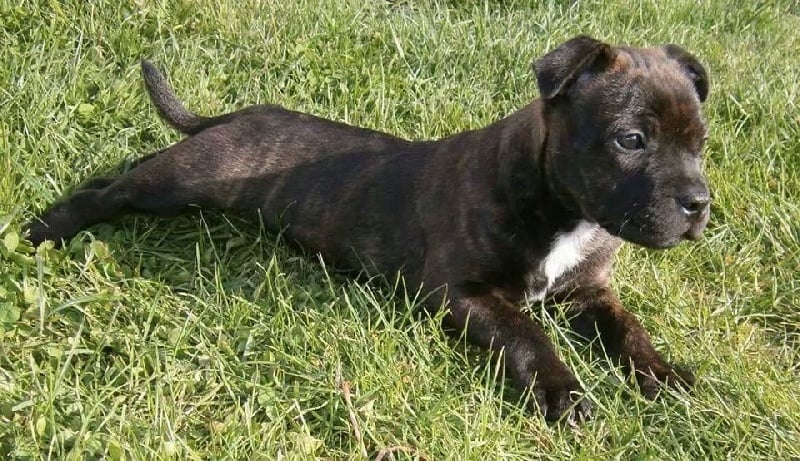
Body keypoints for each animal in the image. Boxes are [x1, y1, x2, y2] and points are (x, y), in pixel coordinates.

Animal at [26, 36, 711, 423]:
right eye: (630, 139)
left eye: (701, 144)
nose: (699, 203)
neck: (565, 210)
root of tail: (238, 115)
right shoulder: (464, 294)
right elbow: (526, 334)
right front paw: (562, 392)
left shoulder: (590, 294)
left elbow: (628, 329)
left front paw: (664, 375)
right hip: (181, 182)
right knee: (112, 190)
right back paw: (44, 228)